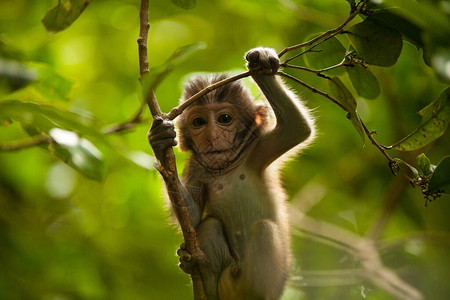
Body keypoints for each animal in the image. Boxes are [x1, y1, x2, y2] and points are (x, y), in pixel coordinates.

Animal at [148, 48, 312, 298]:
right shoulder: (197, 166)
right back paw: (202, 271)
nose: (212, 137)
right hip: (228, 280)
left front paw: (262, 61)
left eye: (224, 119)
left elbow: (297, 128)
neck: (226, 168)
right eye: (199, 122)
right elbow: (192, 218)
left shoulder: (257, 148)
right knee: (210, 224)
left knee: (264, 229)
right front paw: (159, 140)